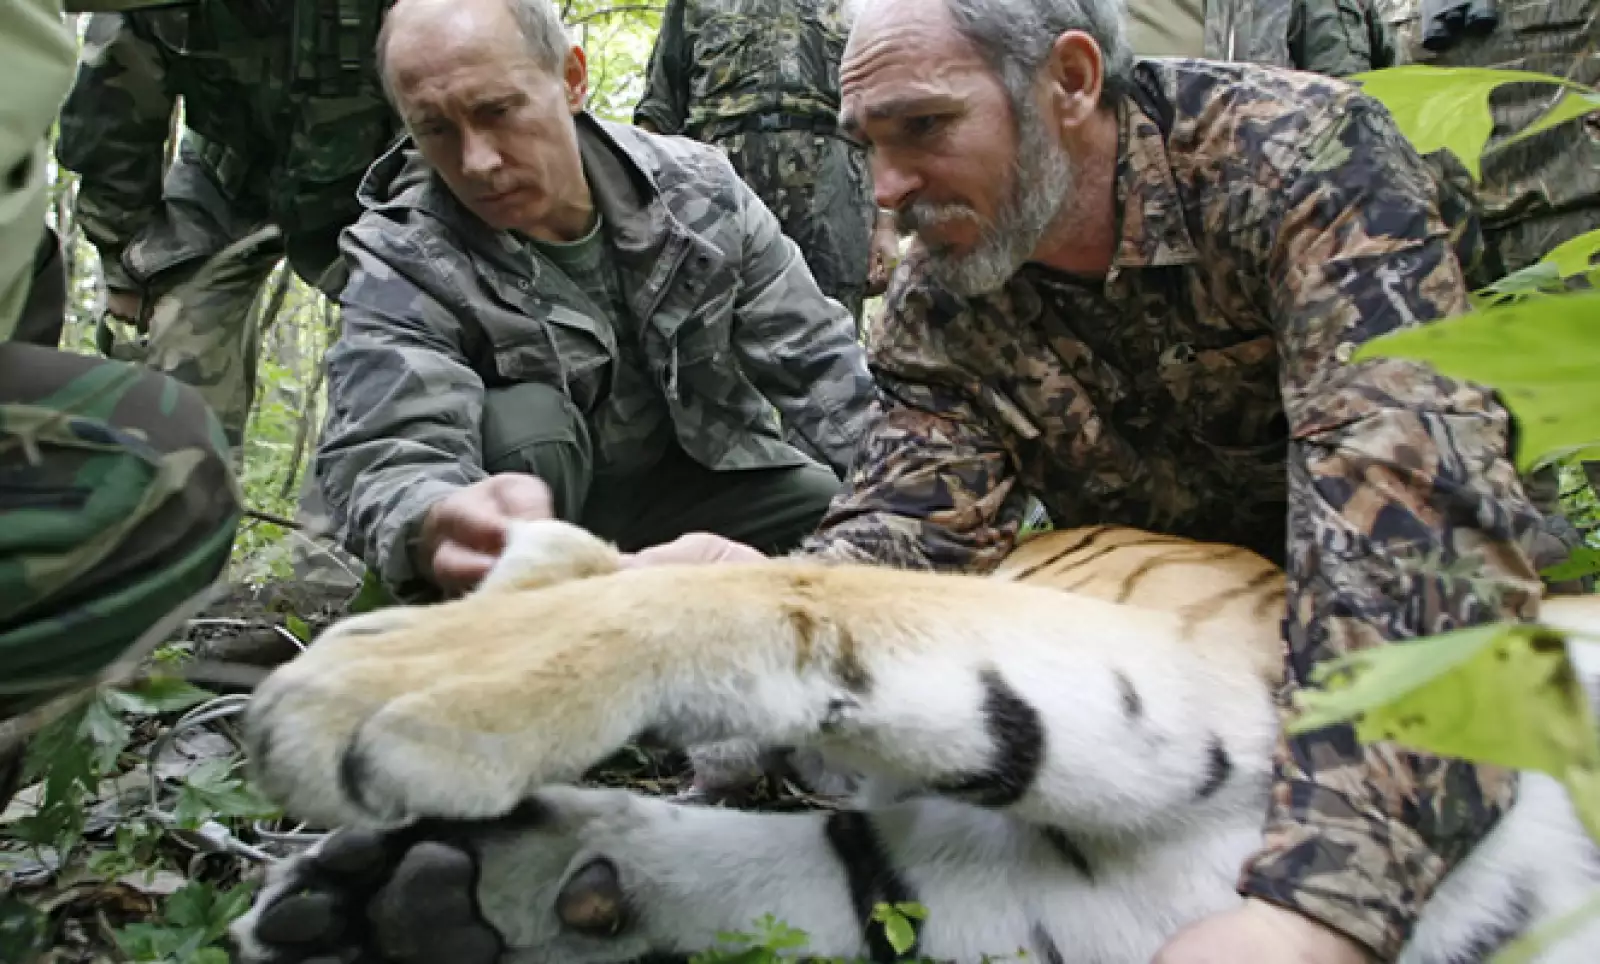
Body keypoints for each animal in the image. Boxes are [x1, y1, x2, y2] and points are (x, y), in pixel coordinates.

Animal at [232, 518, 1600, 964]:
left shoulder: (1216, 688)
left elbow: (795, 582)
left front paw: (398, 678)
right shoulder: (1060, 896)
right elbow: (803, 867)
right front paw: (405, 898)